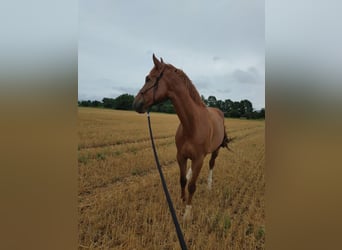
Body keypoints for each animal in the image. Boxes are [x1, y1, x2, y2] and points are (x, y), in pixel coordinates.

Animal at [134, 54, 230, 223]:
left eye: (148, 78)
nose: (135, 103)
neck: (192, 125)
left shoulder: (199, 159)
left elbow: (192, 186)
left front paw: (187, 213)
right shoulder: (181, 156)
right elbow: (183, 180)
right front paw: (182, 199)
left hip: (215, 151)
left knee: (211, 164)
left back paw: (209, 185)